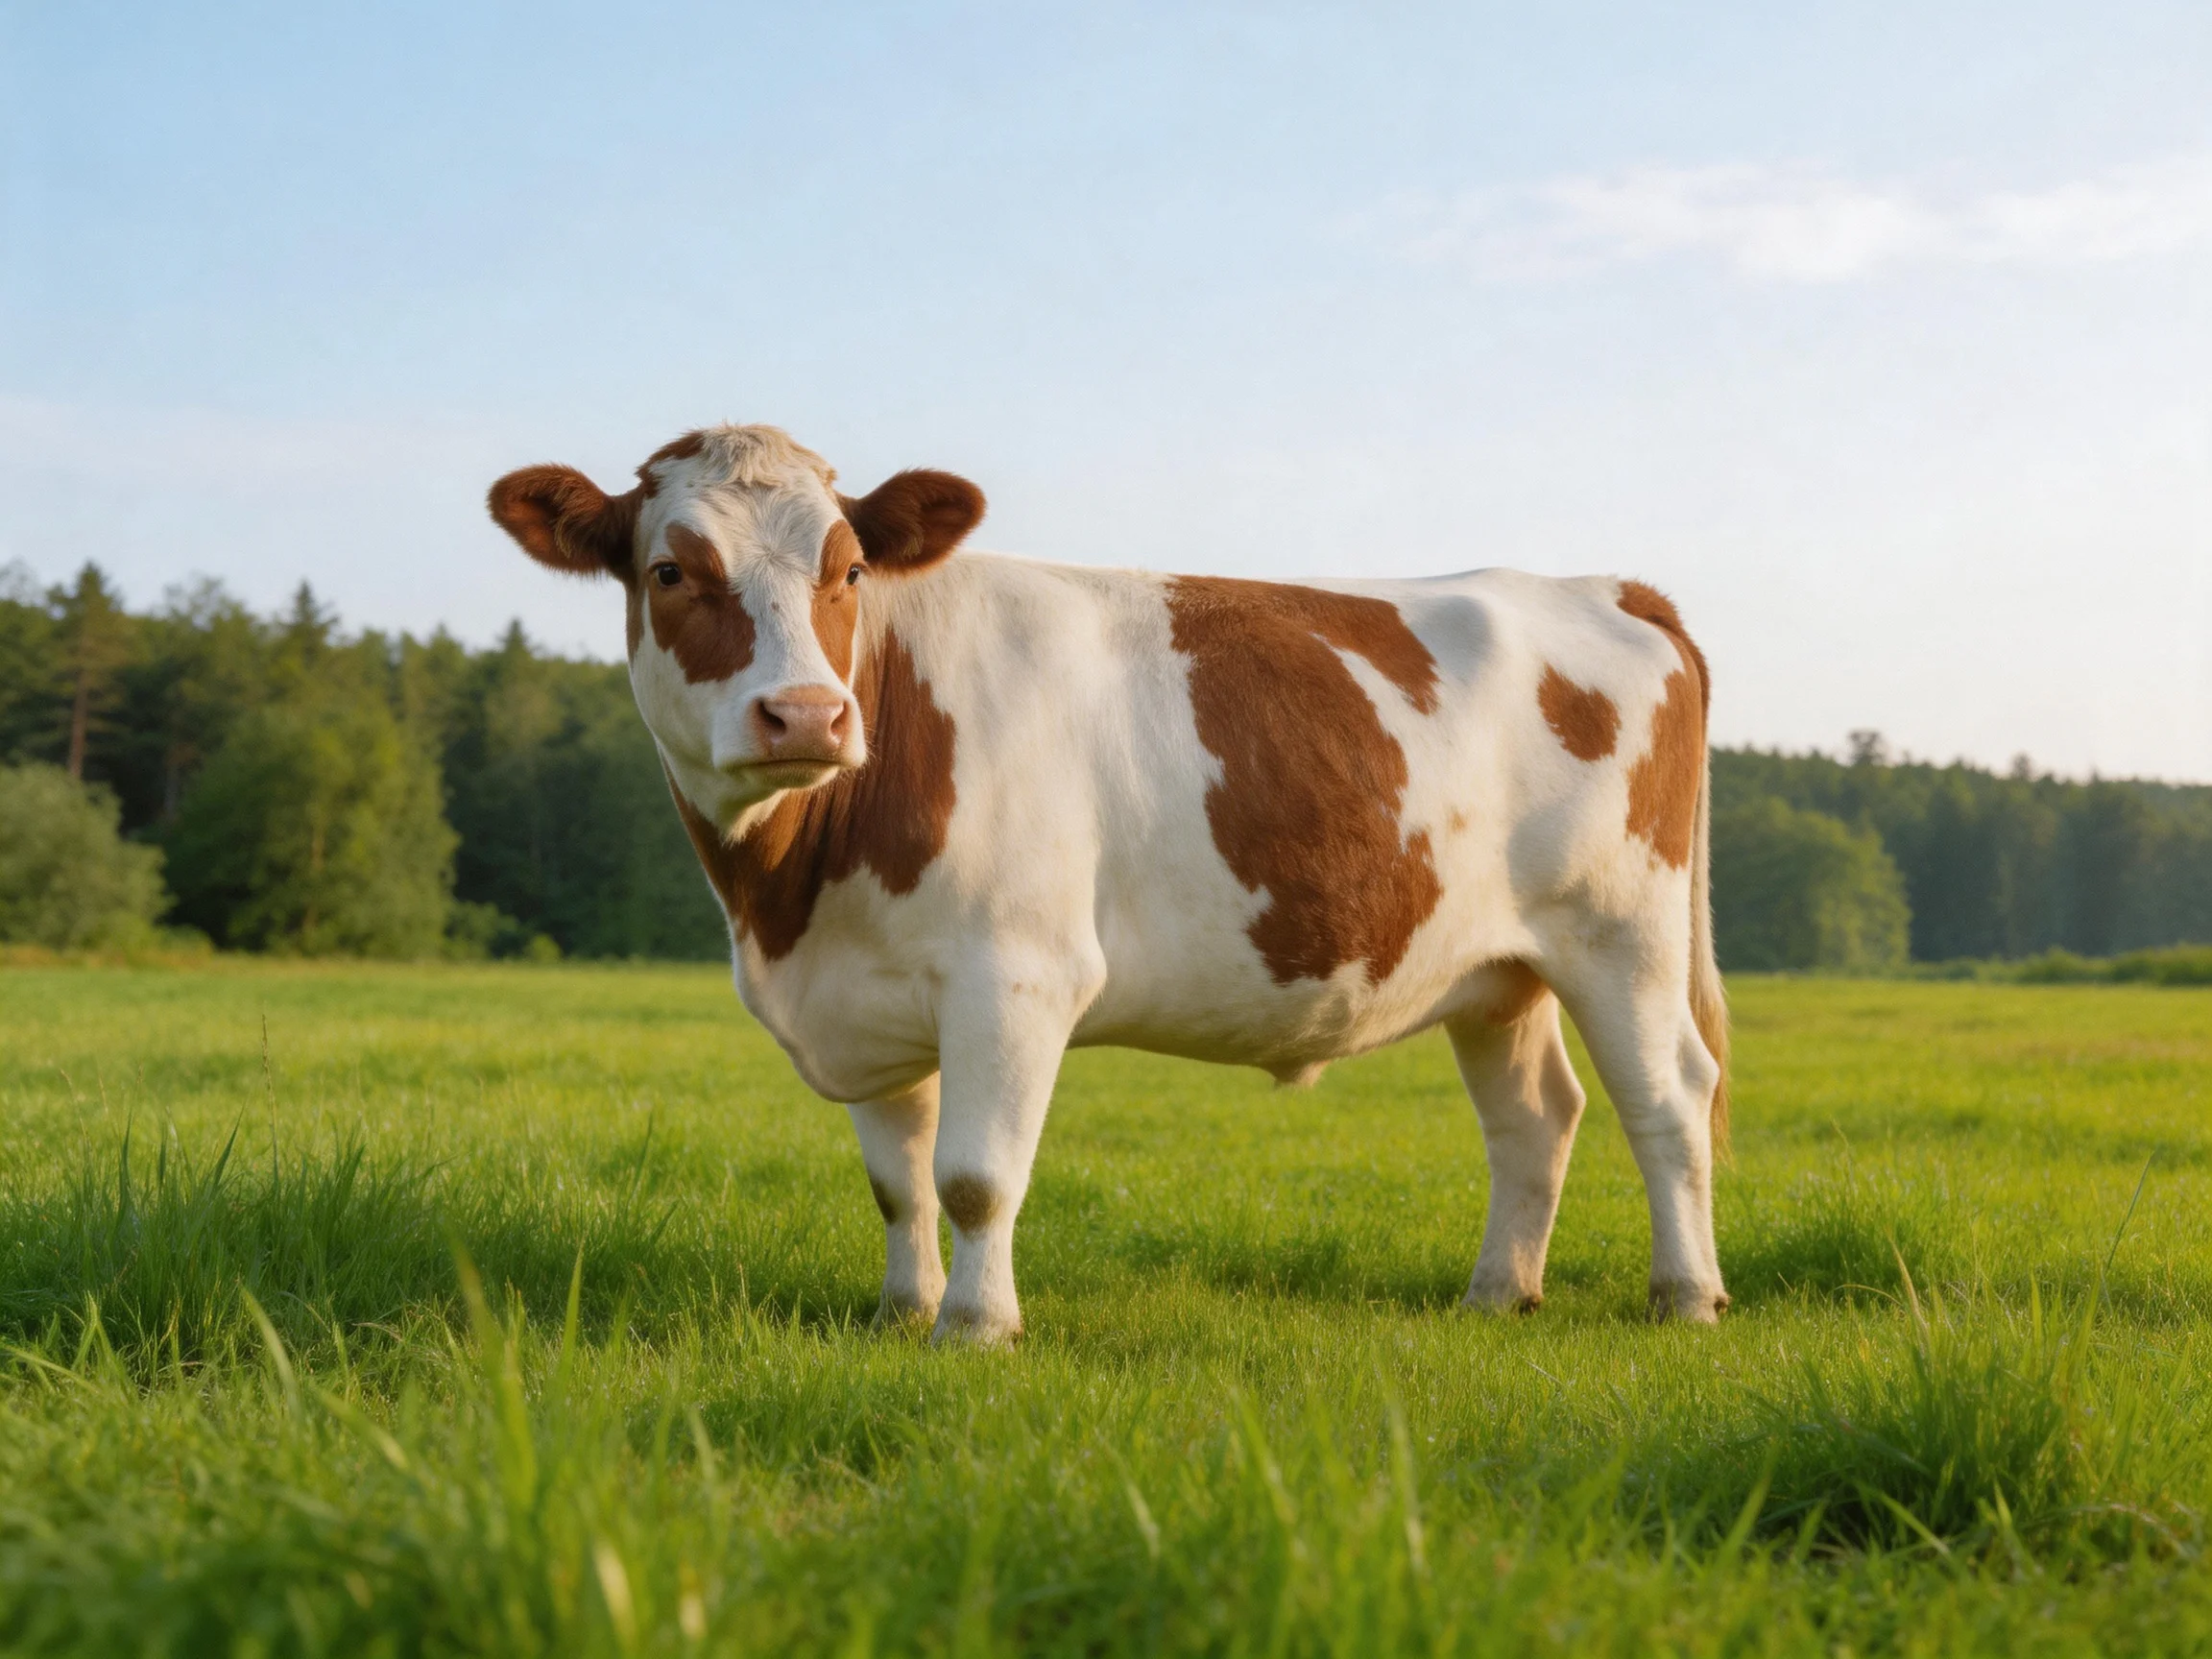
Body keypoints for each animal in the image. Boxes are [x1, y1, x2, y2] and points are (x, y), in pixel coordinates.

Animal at [488, 425, 1730, 1344]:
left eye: (848, 571)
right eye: (669, 571)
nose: (804, 715)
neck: (789, 902)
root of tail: (1604, 588)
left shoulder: (1017, 973)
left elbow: (976, 1176)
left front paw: (976, 1330)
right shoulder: (869, 995)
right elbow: (900, 1183)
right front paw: (902, 1314)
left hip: (1622, 932)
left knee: (1669, 1096)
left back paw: (1685, 1297)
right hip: (1498, 966)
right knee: (1536, 1116)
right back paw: (1497, 1294)